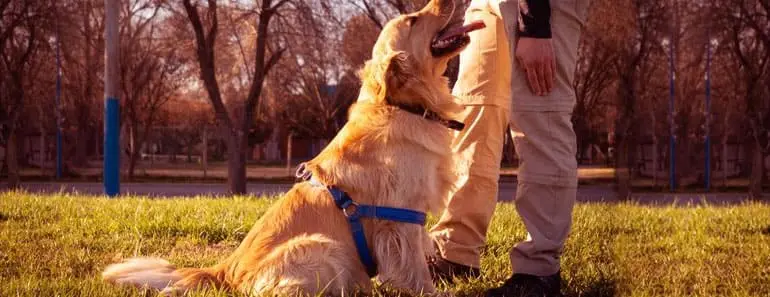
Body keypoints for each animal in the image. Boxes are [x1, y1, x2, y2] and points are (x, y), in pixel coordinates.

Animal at [103, 0, 480, 292]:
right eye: (413, 20)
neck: (403, 106)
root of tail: (224, 270)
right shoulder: (401, 219)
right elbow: (416, 271)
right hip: (323, 248)